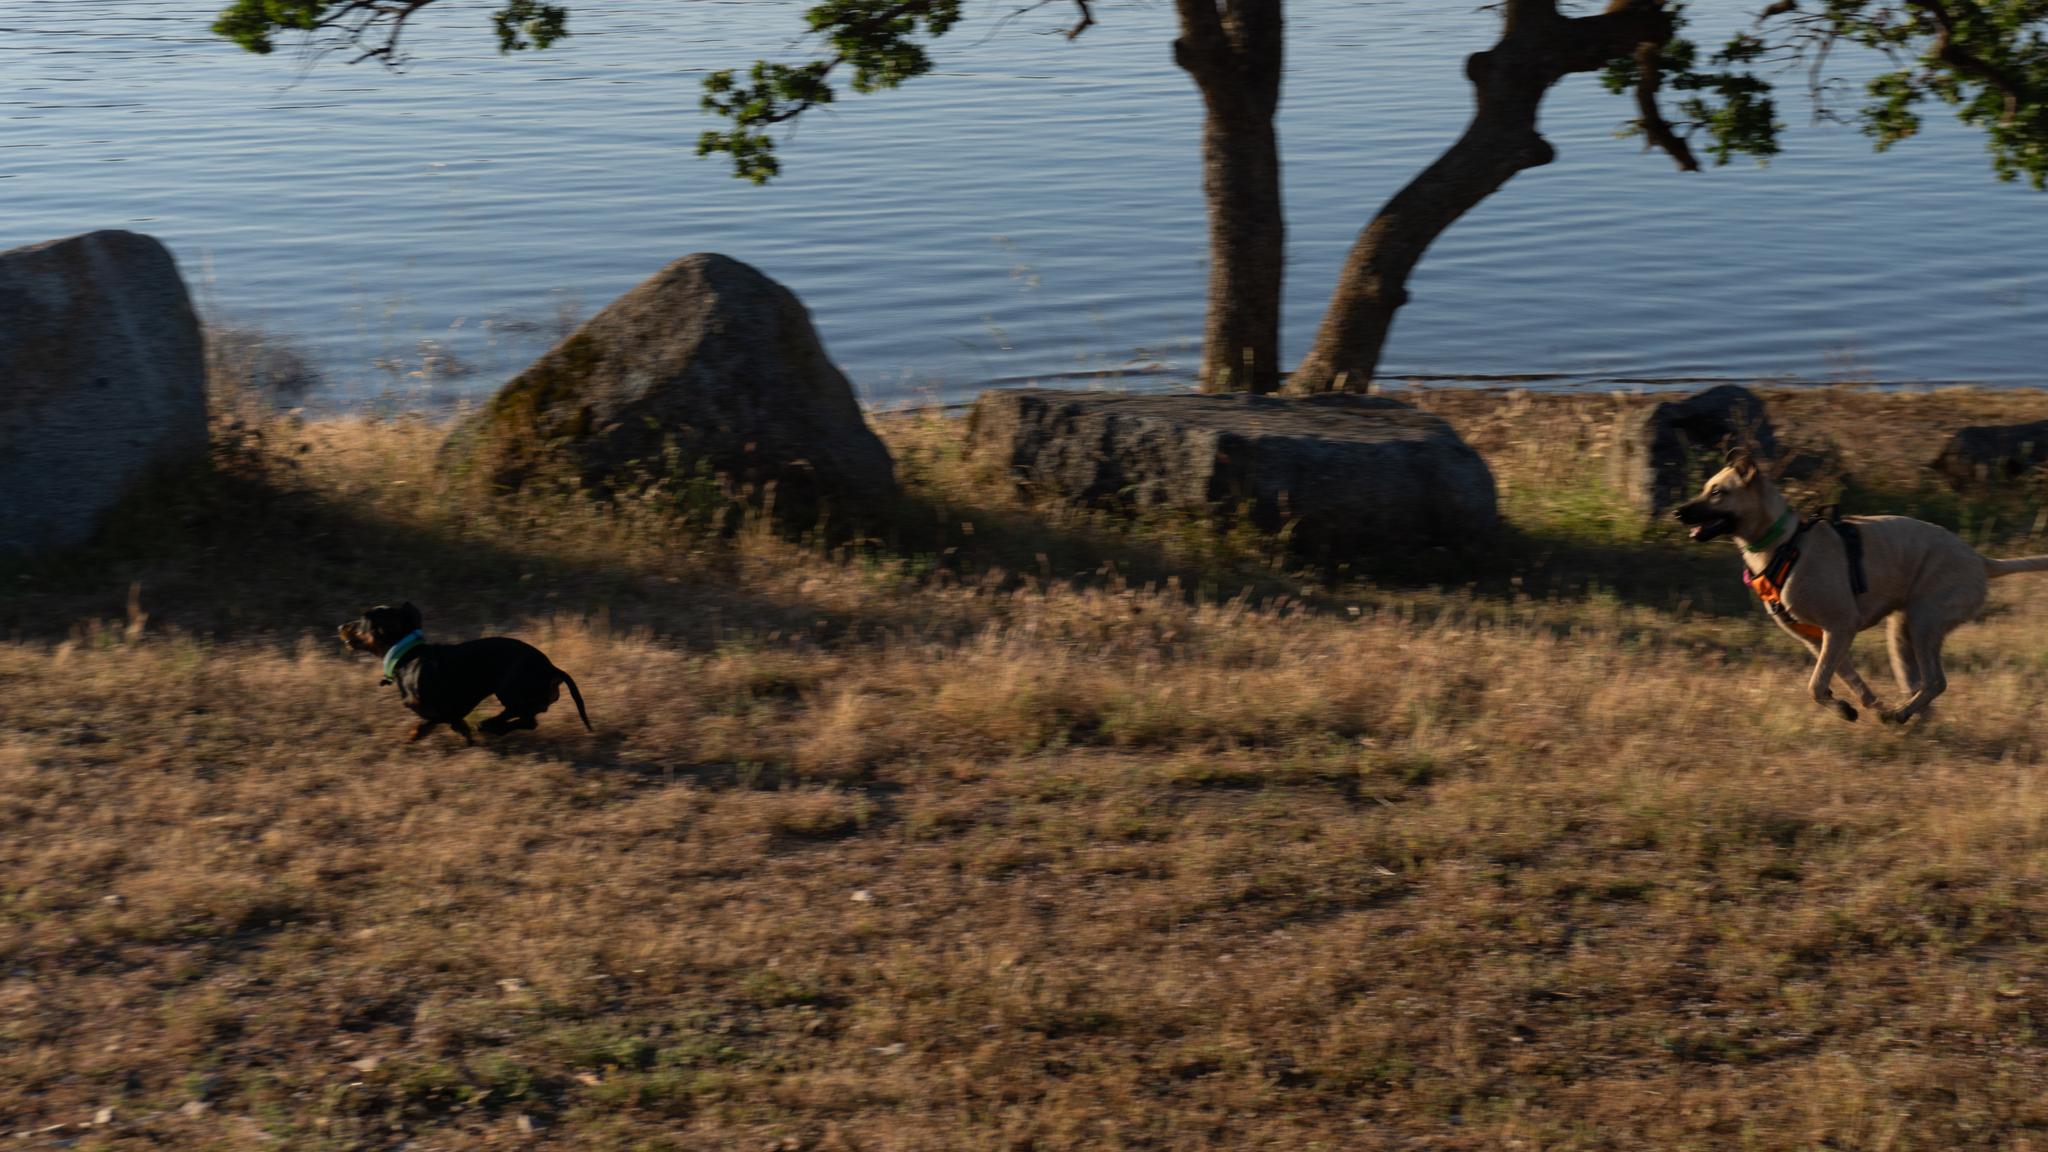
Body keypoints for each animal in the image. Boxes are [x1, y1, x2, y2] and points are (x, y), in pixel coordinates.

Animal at [1679, 446, 2048, 717]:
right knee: (1919, 684)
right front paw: (1859, 705)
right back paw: (1907, 717)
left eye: (1717, 492)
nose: (1678, 512)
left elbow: (1815, 685)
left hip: (1924, 623)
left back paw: (1901, 716)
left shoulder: (1840, 626)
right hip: (1902, 633)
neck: (1785, 545)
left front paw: (1847, 710)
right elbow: (1847, 682)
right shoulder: (1819, 640)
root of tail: (1981, 560)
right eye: (1706, 488)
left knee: (1935, 682)